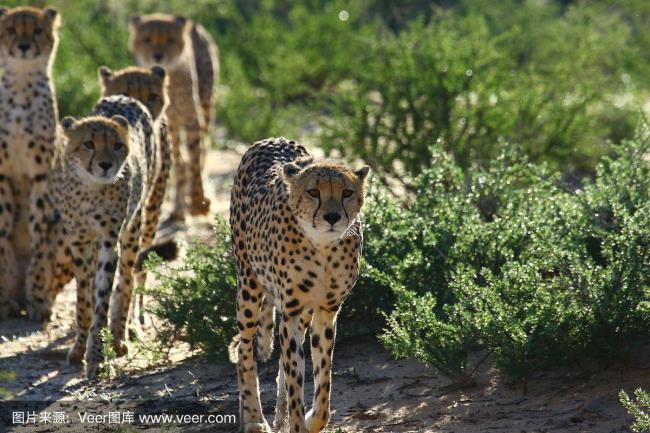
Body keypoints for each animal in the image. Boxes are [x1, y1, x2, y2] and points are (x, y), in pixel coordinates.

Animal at [49, 95, 158, 378]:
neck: (91, 189)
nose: (106, 165)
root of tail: (124, 97)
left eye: (118, 146)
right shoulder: (79, 240)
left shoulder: (110, 241)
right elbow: (83, 300)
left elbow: (103, 298)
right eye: (88, 144)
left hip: (134, 224)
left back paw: (119, 336)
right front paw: (80, 348)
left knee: (127, 280)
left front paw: (97, 355)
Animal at [128, 13, 218, 221]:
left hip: (205, 106)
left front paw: (198, 201)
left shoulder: (192, 120)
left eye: (170, 40)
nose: (158, 56)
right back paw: (178, 210)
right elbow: (182, 163)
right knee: (181, 162)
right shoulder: (165, 126)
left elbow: (195, 159)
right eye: (147, 39)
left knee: (202, 149)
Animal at [228, 138, 370, 432]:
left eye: (347, 192)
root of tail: (272, 140)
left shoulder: (326, 311)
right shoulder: (291, 313)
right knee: (245, 349)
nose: (331, 217)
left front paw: (310, 419)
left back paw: (276, 416)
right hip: (248, 284)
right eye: (313, 191)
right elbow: (295, 377)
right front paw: (295, 421)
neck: (323, 247)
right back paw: (254, 418)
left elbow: (322, 378)